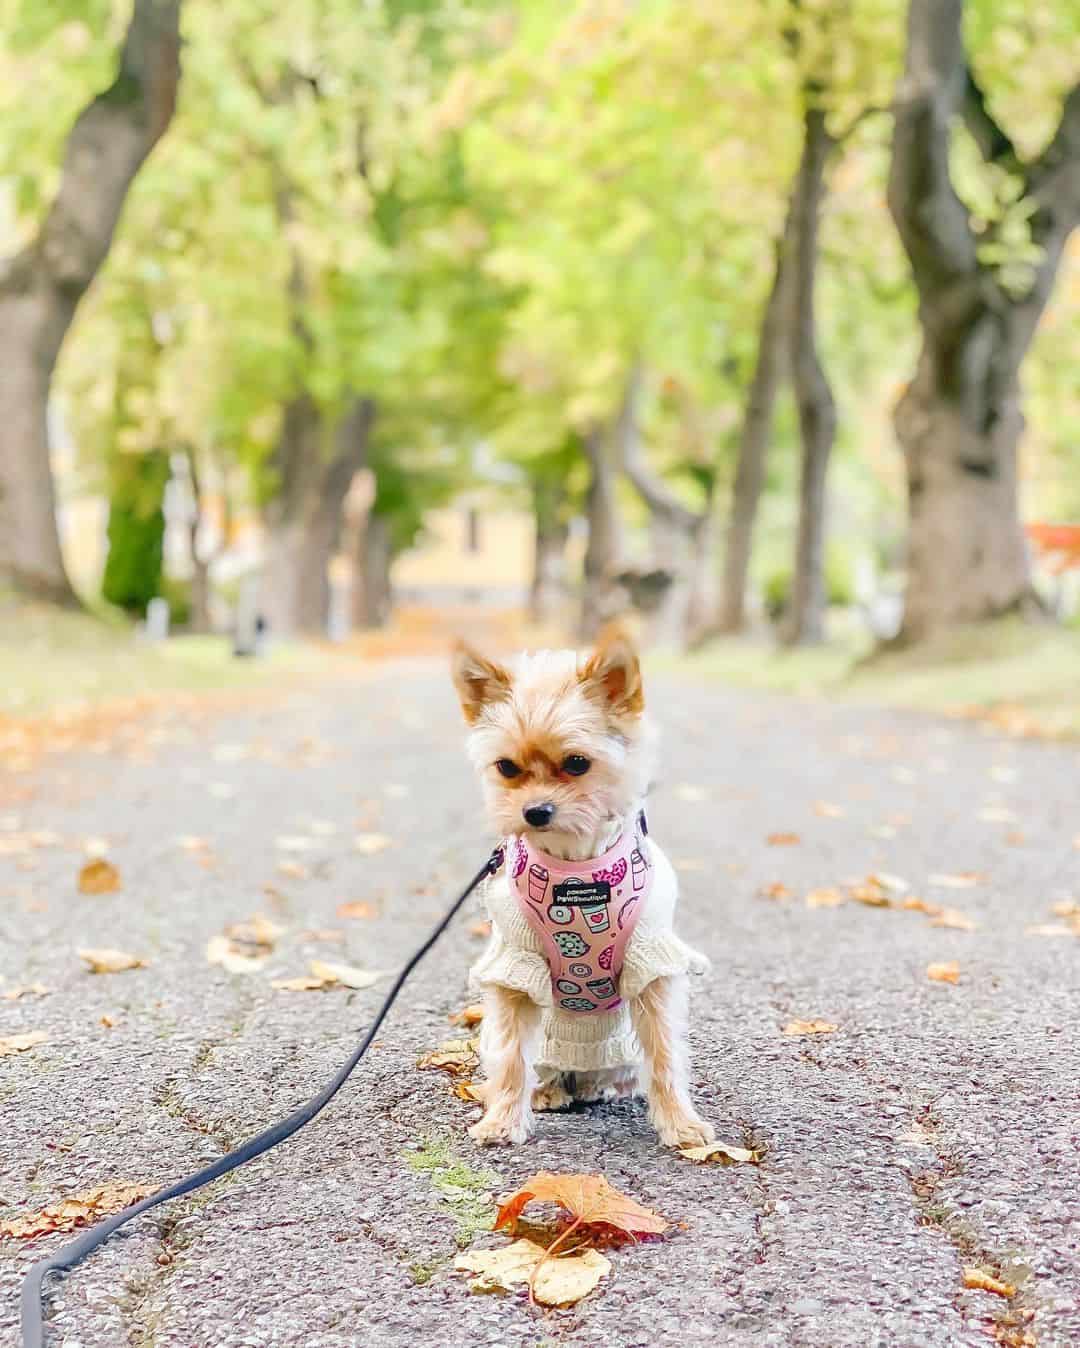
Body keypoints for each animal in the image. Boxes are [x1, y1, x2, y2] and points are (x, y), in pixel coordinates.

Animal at [450, 622, 711, 1148]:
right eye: (506, 767)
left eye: (576, 763)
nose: (535, 811)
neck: (576, 869)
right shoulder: (515, 968)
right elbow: (512, 1058)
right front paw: (503, 1120)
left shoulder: (652, 963)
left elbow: (665, 1056)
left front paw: (679, 1123)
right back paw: (549, 1091)